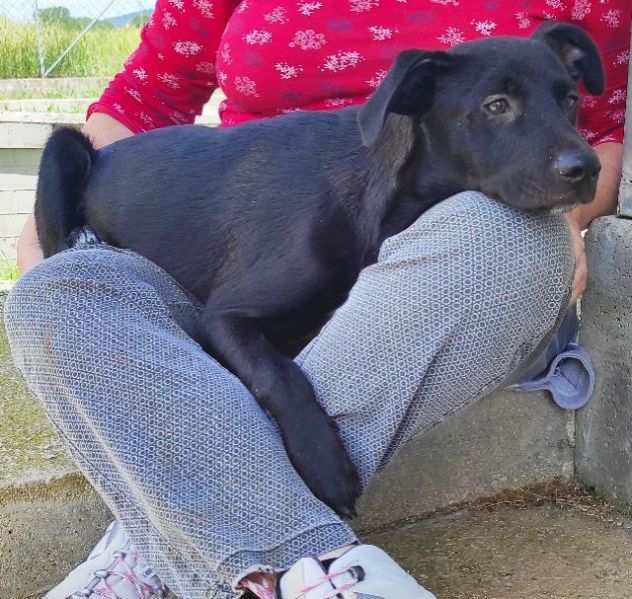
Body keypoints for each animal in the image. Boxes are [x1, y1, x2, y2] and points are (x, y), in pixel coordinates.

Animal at [37, 22, 604, 520]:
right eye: (496, 106)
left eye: (570, 100)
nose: (587, 169)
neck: (381, 197)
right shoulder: (225, 315)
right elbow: (280, 373)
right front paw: (324, 463)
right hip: (62, 147)